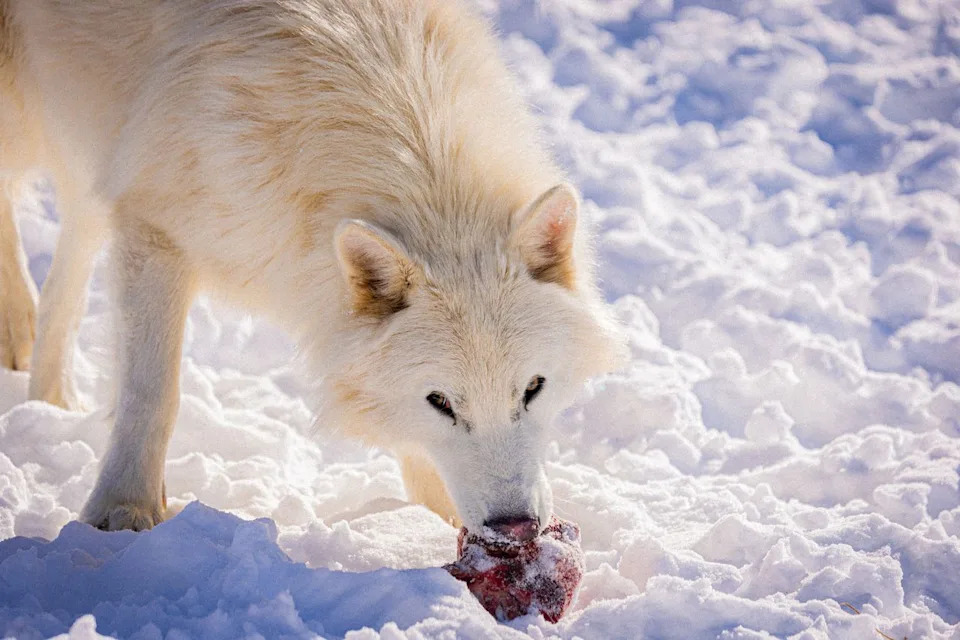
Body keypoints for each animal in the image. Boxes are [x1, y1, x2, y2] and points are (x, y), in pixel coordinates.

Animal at [0, 0, 623, 536]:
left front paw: (437, 525)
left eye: (534, 389)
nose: (514, 527)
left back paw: (48, 393)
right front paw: (122, 512)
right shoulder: (155, 228)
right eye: (441, 402)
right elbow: (152, 393)